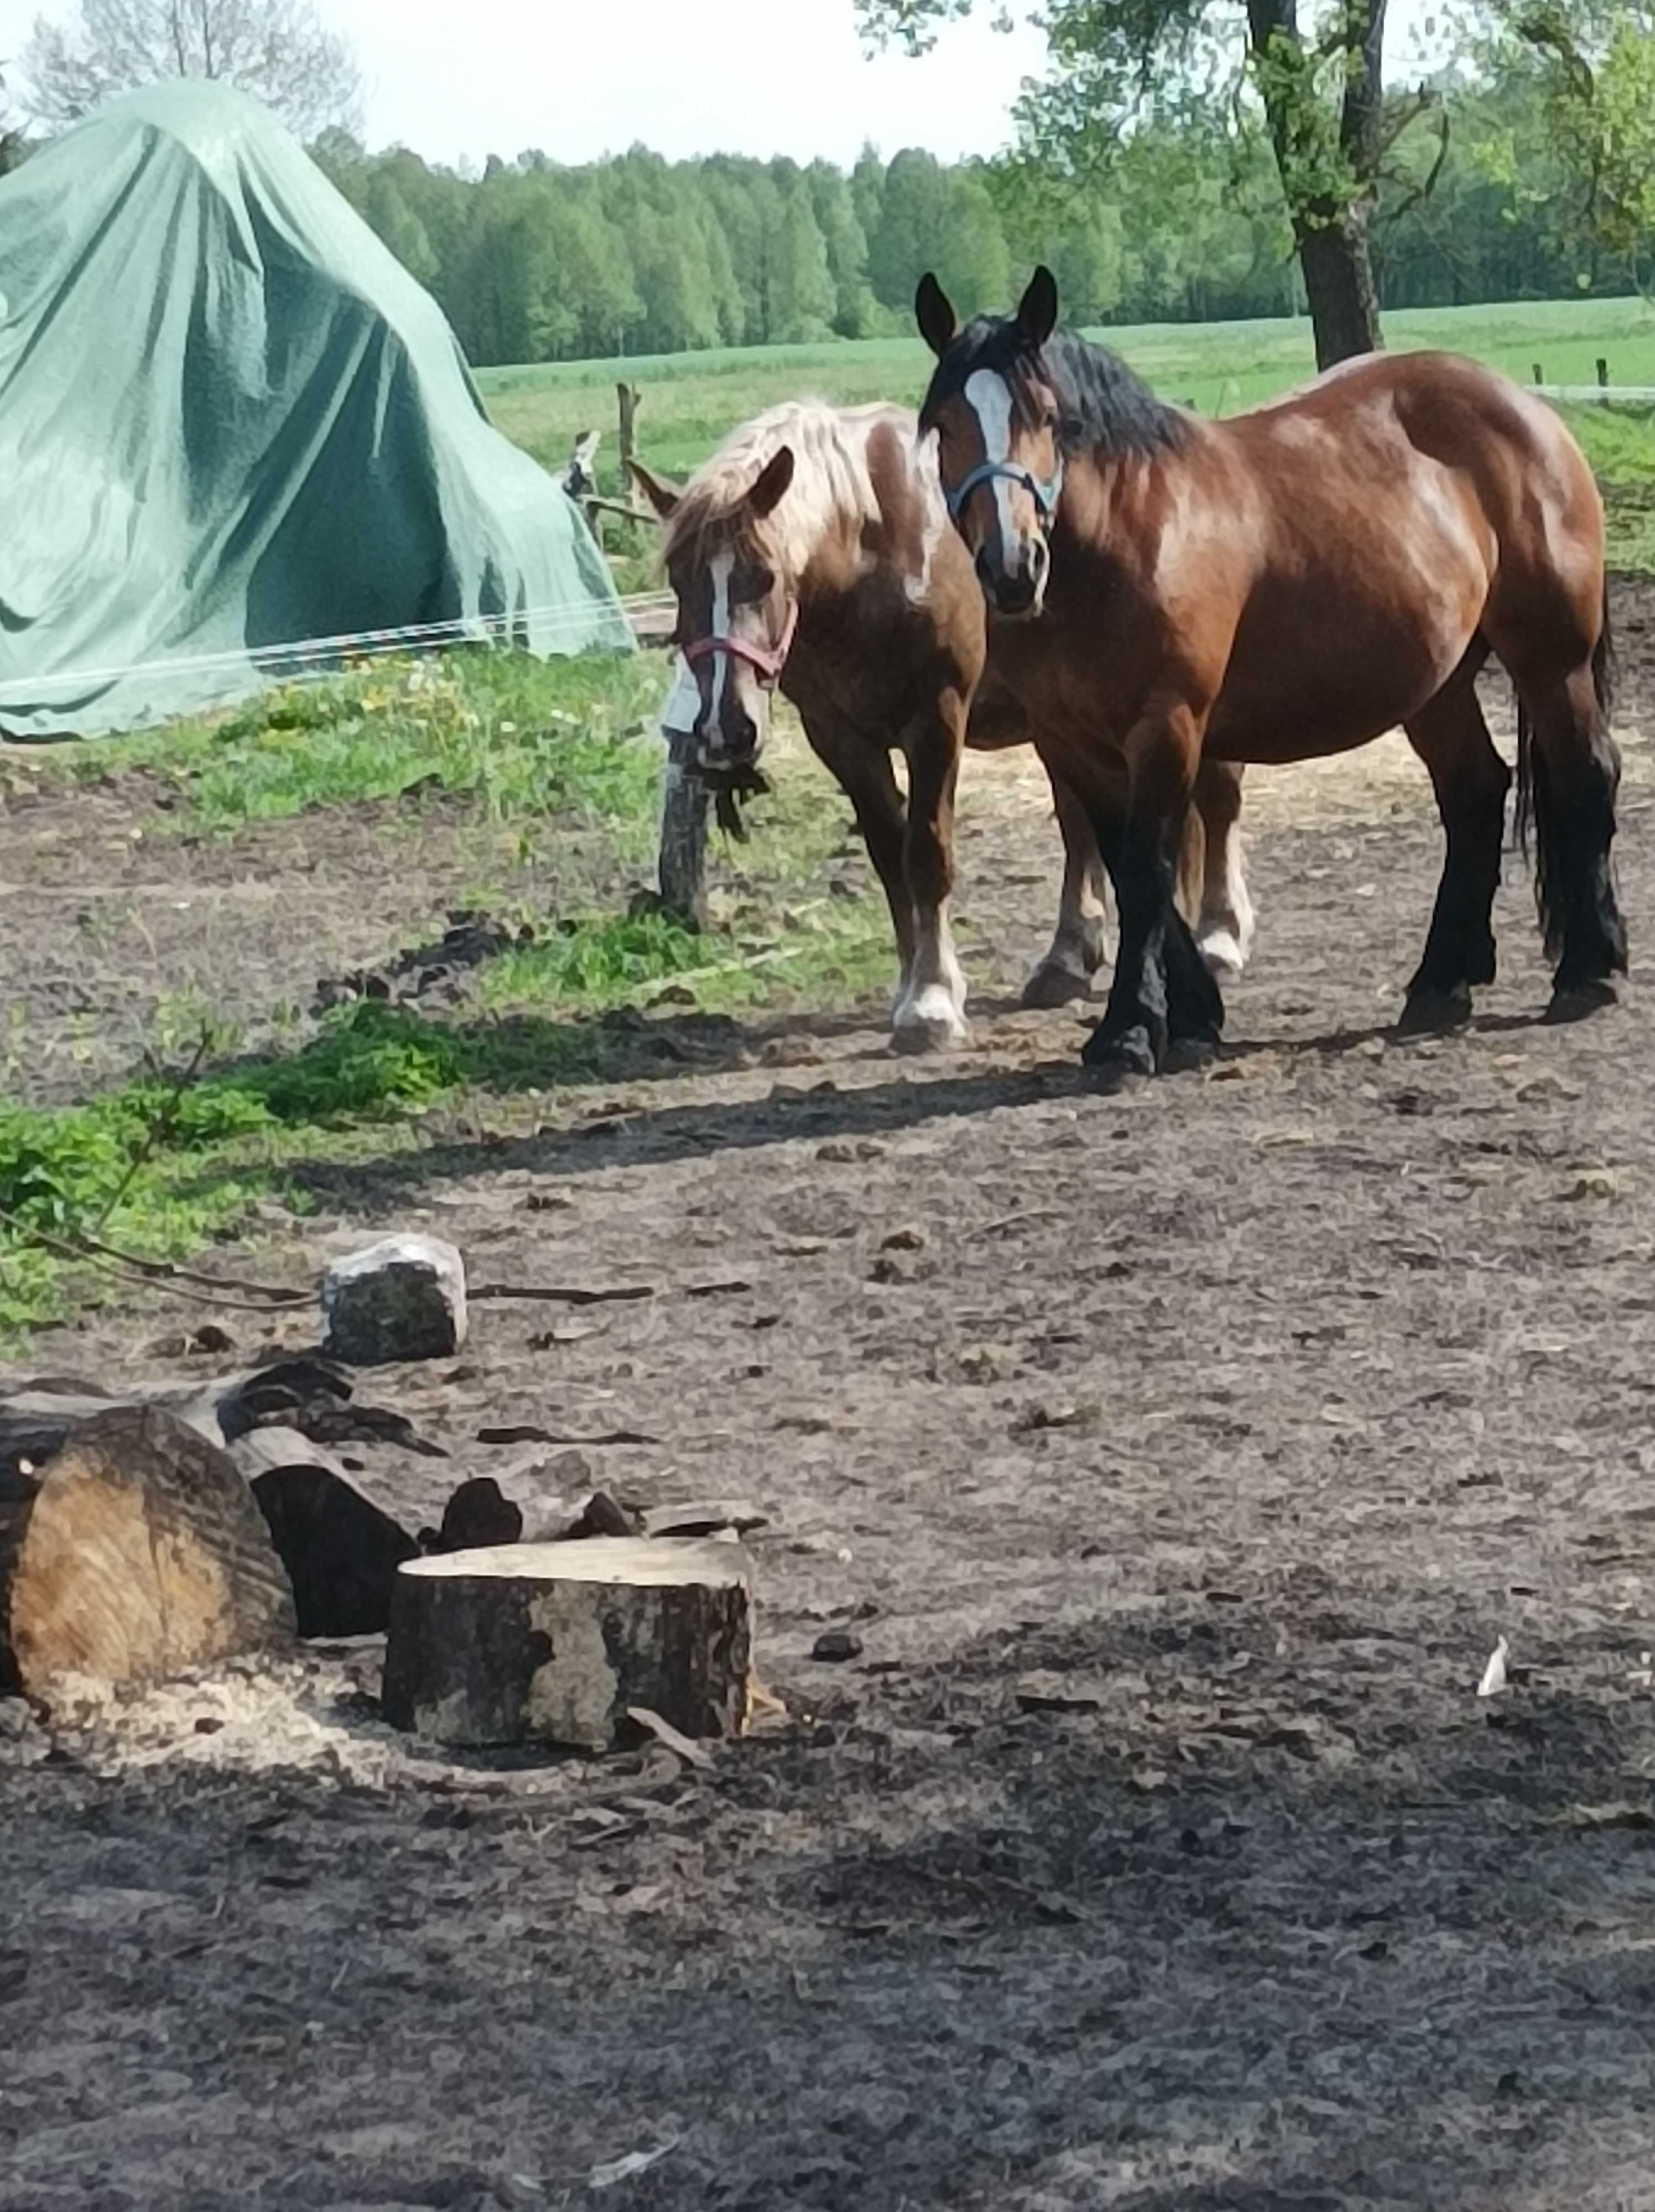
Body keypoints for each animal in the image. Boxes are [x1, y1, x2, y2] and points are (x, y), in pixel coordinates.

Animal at [628, 405, 1257, 1053]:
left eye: (764, 575)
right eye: (679, 580)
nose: (726, 725)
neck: (876, 549)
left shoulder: (935, 719)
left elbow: (927, 854)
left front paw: (932, 1001)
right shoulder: (840, 737)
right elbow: (890, 857)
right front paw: (910, 985)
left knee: (1217, 797)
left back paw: (1219, 933)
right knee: (1082, 821)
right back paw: (1067, 958)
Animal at [916, 272, 1628, 1084]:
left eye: (1046, 416)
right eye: (943, 424)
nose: (1012, 567)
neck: (1124, 538)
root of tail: (1526, 409)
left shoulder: (1168, 724)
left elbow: (1148, 868)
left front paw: (1130, 1032)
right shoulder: (1068, 741)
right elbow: (1131, 873)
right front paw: (1193, 1016)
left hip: (1551, 657)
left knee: (1585, 773)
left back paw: (1588, 970)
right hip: (1437, 685)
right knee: (1474, 792)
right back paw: (1441, 983)